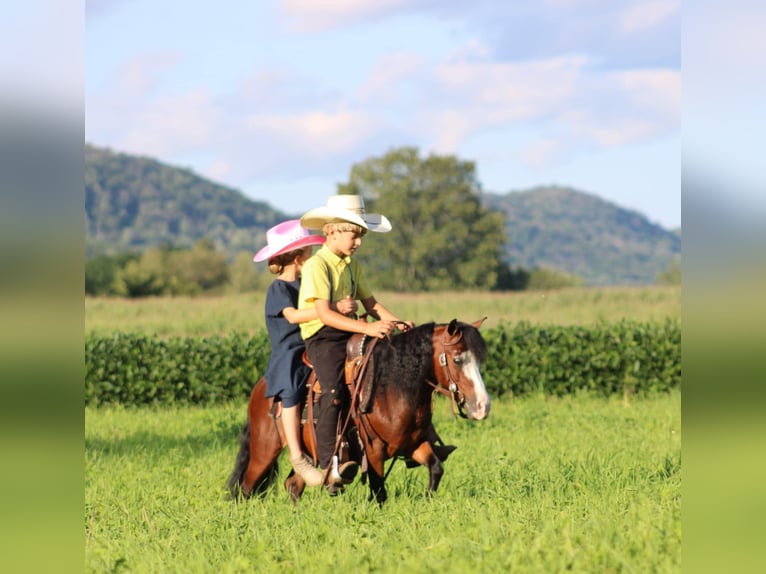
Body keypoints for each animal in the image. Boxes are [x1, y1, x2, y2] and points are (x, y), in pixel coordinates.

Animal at [228, 322, 492, 506]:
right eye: (457, 359)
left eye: (480, 360)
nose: (483, 406)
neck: (393, 387)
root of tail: (262, 387)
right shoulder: (373, 452)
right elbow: (379, 493)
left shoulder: (413, 444)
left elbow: (436, 468)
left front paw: (427, 501)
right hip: (265, 450)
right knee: (245, 487)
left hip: (304, 454)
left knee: (293, 484)